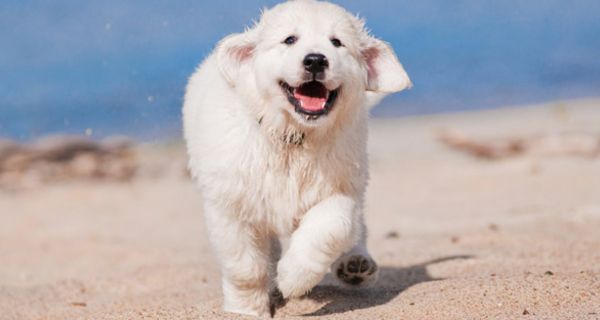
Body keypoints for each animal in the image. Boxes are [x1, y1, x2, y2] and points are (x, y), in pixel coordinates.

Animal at [183, 0, 408, 316]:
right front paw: (246, 310)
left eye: (337, 42)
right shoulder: (230, 206)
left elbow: (332, 226)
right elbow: (244, 268)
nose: (315, 61)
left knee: (357, 228)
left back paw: (355, 264)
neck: (293, 138)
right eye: (290, 39)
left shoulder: (340, 188)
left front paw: (292, 278)